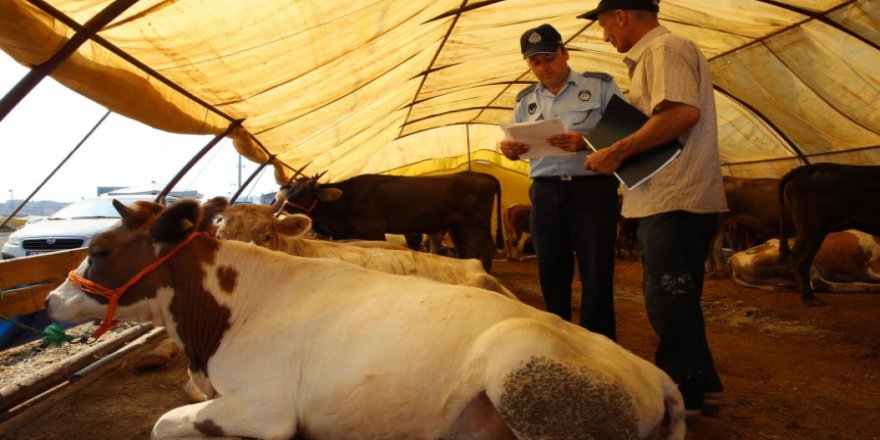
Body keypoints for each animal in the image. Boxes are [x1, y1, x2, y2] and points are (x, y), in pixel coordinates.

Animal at [282, 172, 502, 272]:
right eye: (290, 190)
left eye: (302, 193)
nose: (283, 207)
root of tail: (482, 175)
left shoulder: (375, 230)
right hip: (458, 225)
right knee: (468, 250)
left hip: (478, 221)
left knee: (486, 247)